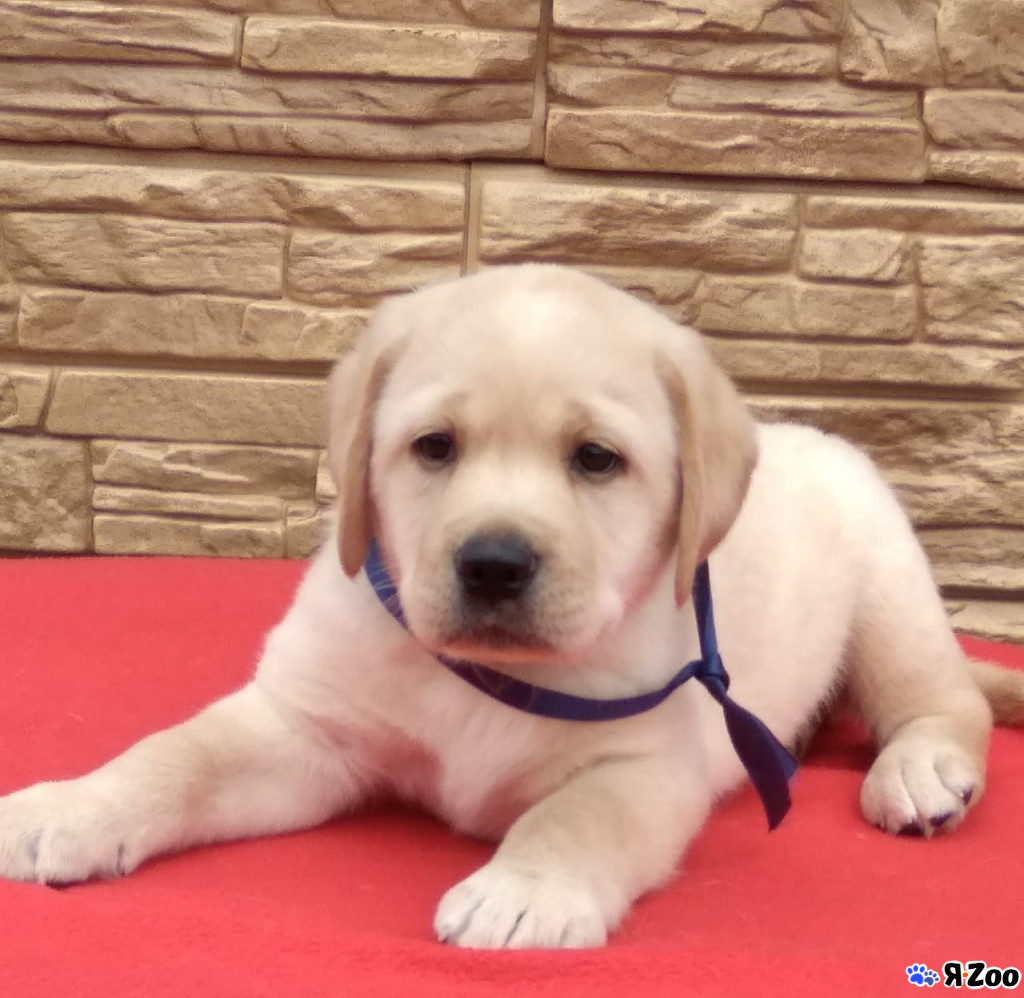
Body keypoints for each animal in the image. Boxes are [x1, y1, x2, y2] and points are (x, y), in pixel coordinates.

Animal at [2, 264, 1022, 949]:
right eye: (434, 446)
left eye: (597, 460)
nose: (493, 564)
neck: (493, 675)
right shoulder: (306, 726)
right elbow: (176, 754)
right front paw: (75, 806)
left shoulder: (649, 763)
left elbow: (577, 816)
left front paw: (526, 889)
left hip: (890, 591)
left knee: (944, 701)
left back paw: (919, 769)